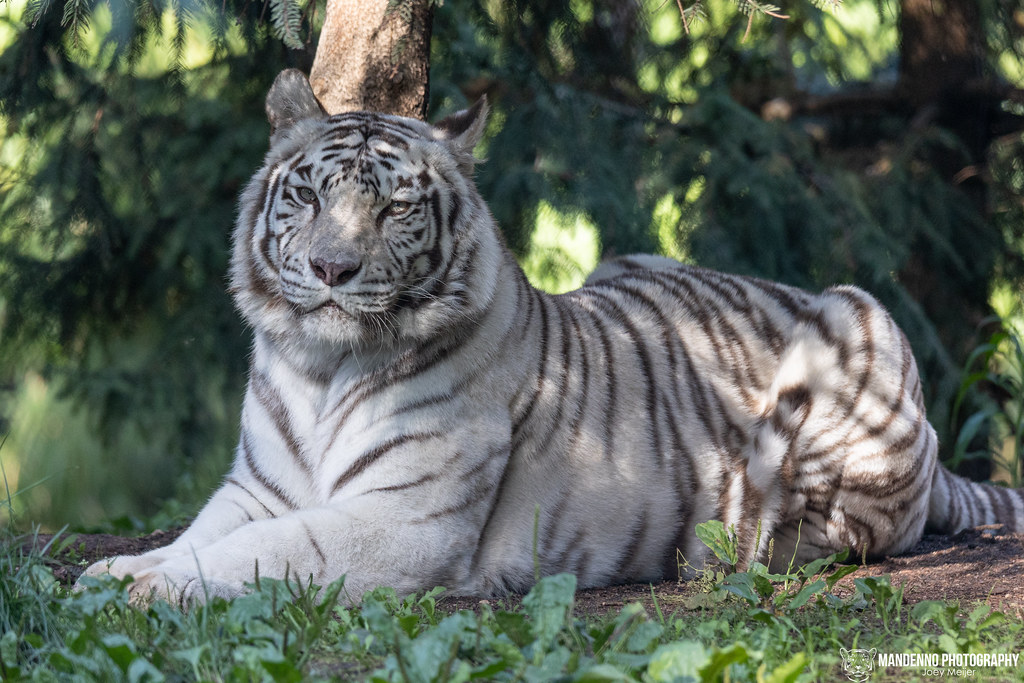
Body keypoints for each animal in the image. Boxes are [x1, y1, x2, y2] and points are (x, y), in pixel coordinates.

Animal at [81, 68, 1024, 605]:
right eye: (308, 196)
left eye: (393, 205)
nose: (332, 269)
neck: (318, 364)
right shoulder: (257, 486)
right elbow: (203, 531)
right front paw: (122, 570)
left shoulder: (404, 516)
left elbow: (263, 551)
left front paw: (156, 587)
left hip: (860, 320)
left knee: (836, 532)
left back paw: (716, 544)